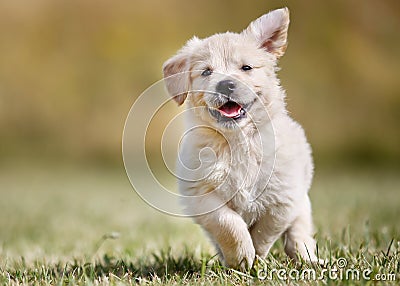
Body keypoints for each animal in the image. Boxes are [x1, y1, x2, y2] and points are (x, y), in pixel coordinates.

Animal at [162, 7, 318, 270]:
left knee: (299, 231)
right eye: (206, 71)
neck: (238, 141)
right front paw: (242, 258)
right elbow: (229, 224)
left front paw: (257, 258)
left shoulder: (283, 198)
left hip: (302, 201)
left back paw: (308, 259)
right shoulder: (201, 195)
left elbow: (265, 232)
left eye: (246, 68)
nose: (226, 85)